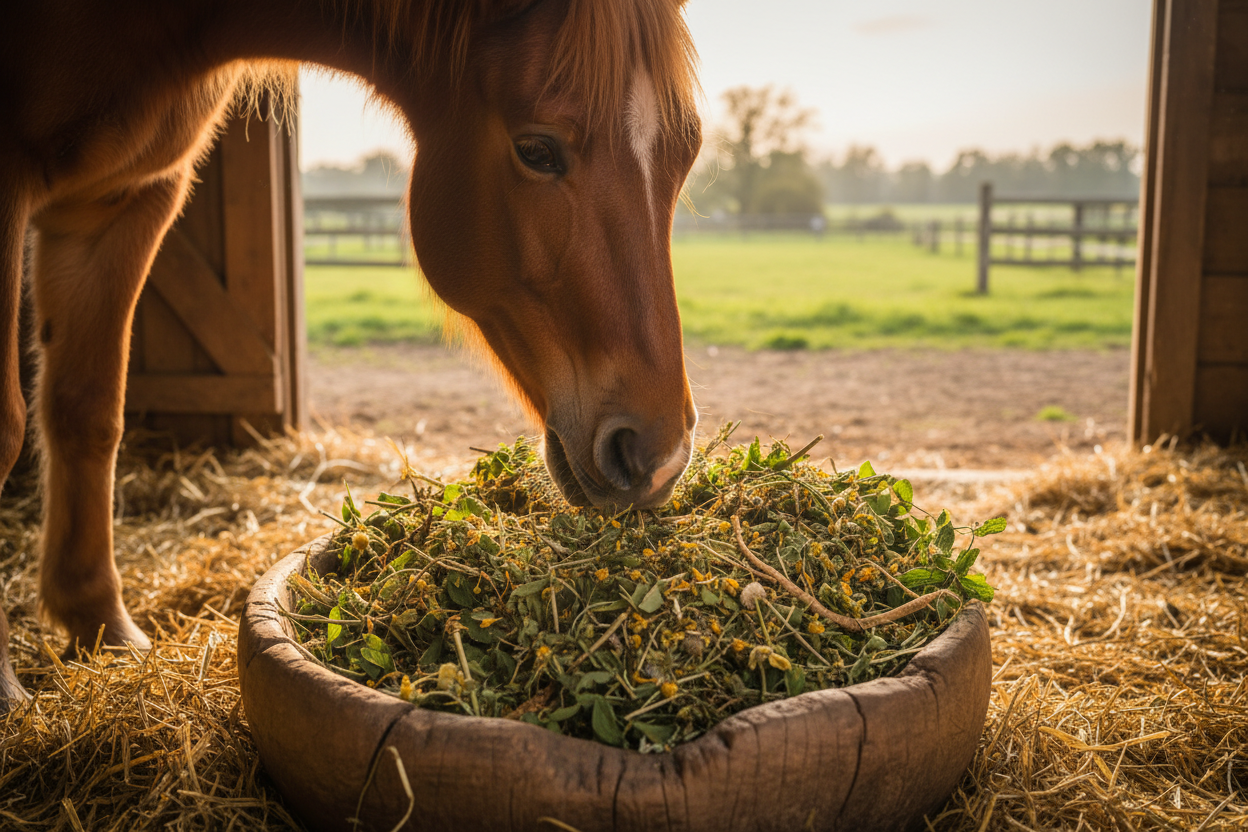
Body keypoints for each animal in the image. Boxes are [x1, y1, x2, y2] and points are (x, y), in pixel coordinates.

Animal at [0, 0, 702, 709]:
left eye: (688, 153)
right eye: (537, 150)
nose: (659, 457)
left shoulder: (131, 200)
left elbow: (88, 412)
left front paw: (104, 630)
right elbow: (10, 426)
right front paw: (11, 688)